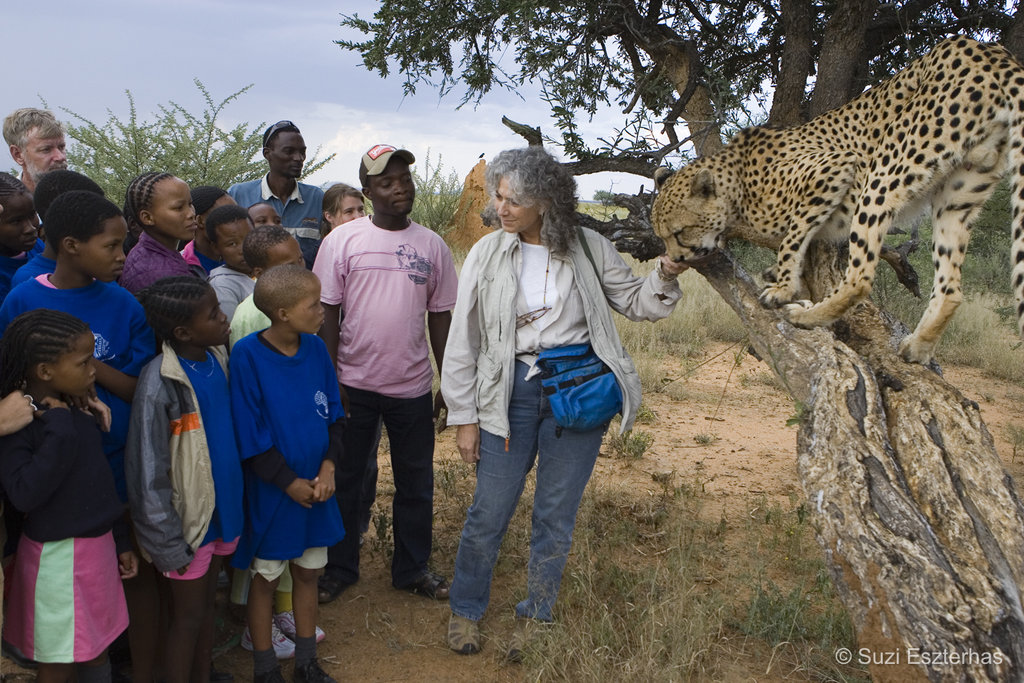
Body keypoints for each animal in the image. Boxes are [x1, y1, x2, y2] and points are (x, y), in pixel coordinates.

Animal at [651, 36, 1024, 366]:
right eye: (664, 236)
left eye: (680, 232)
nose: (676, 258)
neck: (738, 184)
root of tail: (986, 49)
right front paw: (783, 276)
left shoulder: (835, 167)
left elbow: (793, 237)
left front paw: (783, 287)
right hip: (957, 198)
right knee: (951, 289)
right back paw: (917, 346)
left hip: (883, 176)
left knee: (860, 278)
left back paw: (807, 316)